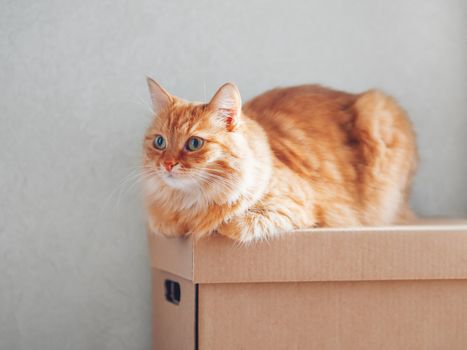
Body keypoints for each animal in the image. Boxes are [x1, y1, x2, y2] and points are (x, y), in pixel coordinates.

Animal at [142, 78, 416, 243]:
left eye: (194, 144)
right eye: (160, 142)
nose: (167, 164)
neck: (189, 206)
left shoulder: (295, 206)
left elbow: (232, 225)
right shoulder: (161, 225)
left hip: (377, 111)